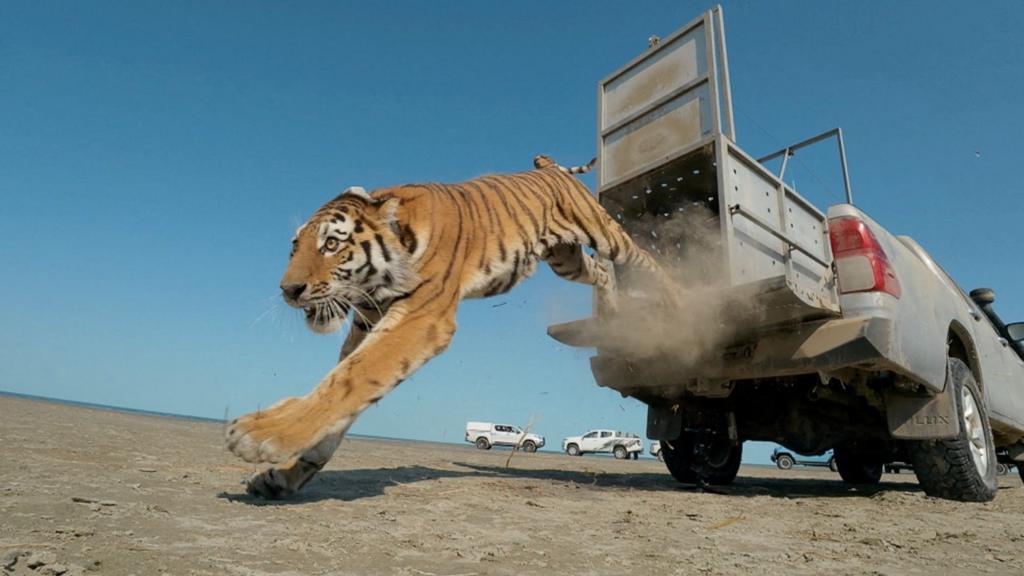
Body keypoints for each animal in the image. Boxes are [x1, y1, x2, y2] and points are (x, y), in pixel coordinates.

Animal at [227, 154, 680, 499]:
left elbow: (350, 379)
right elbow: (342, 390)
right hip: (564, 258)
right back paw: (611, 315)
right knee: (601, 272)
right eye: (294, 247)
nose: (289, 290)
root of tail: (550, 167)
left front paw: (261, 434)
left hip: (601, 230)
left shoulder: (421, 318)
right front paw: (283, 476)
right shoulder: (366, 325)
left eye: (331, 245)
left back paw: (676, 300)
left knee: (641, 259)